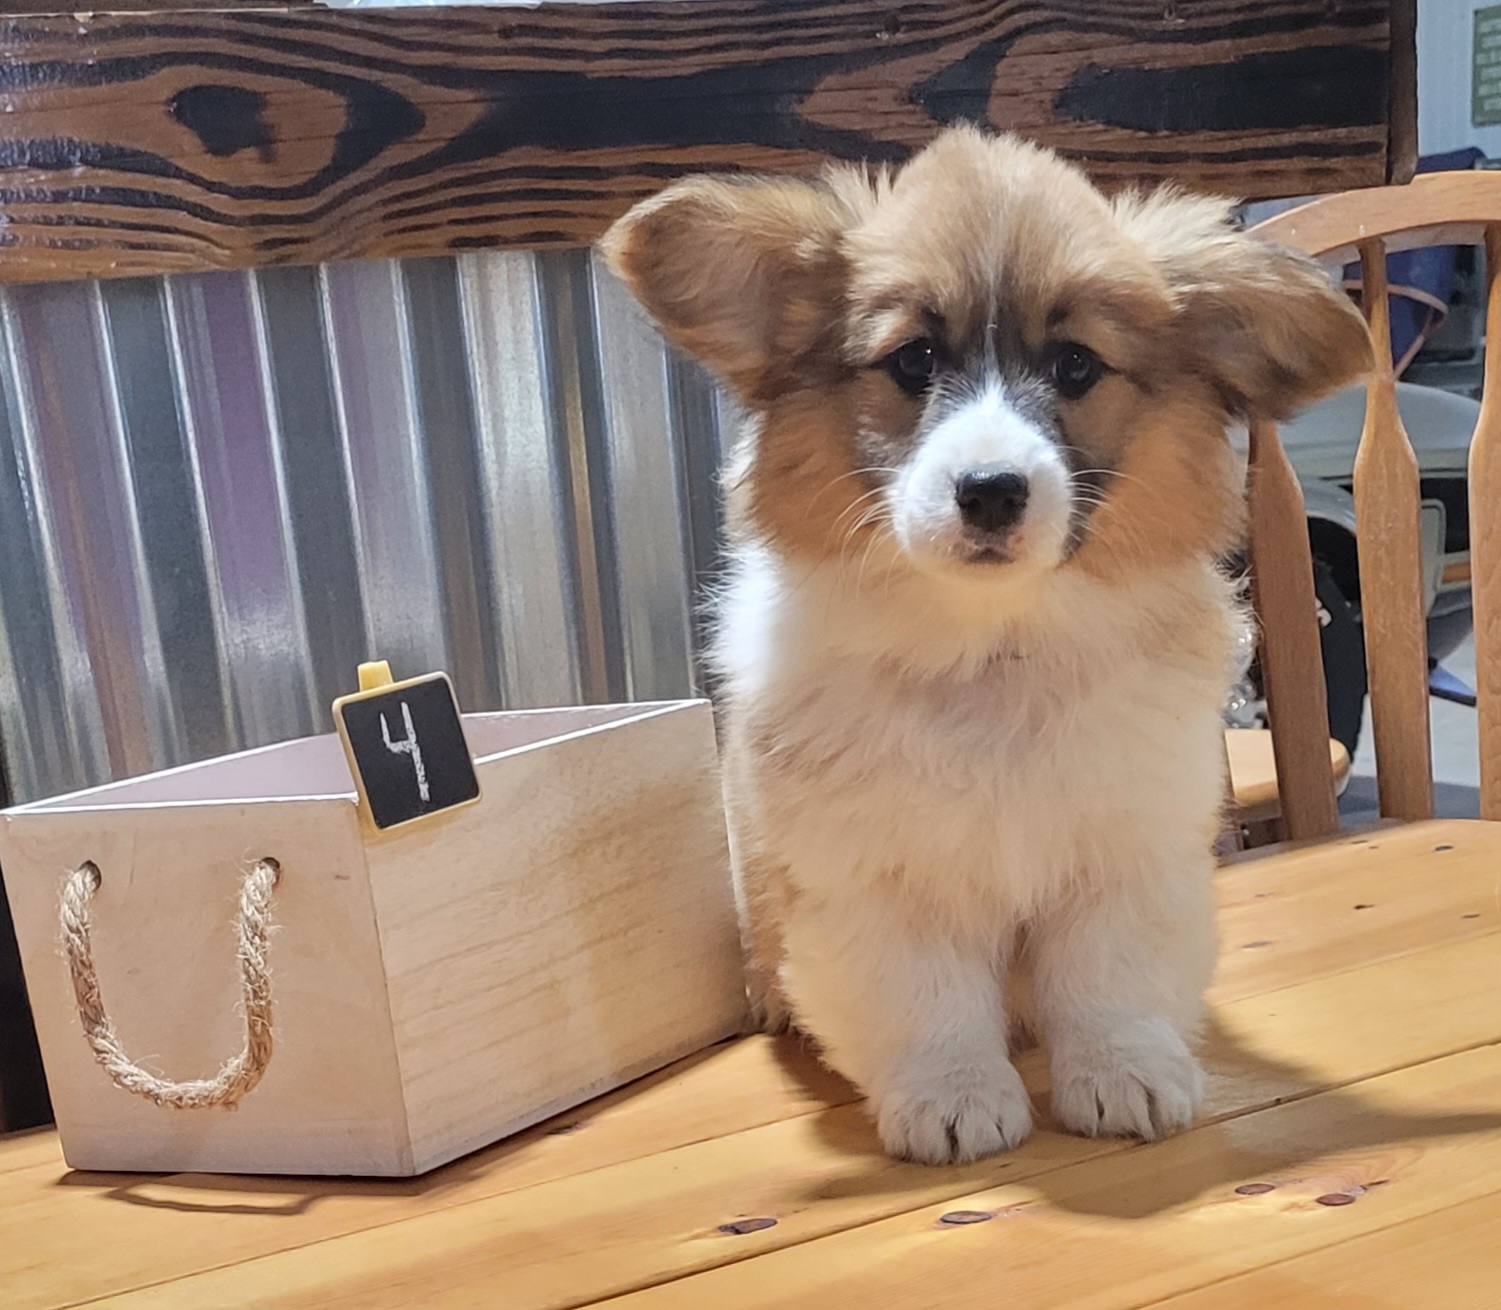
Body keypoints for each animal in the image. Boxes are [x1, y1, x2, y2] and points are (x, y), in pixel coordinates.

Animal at [603, 127, 1370, 1164]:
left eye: (1077, 366)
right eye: (914, 360)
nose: (991, 491)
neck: (993, 647)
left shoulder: (1123, 849)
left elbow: (1106, 980)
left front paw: (1122, 1076)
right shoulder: (876, 879)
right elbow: (925, 999)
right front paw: (954, 1099)